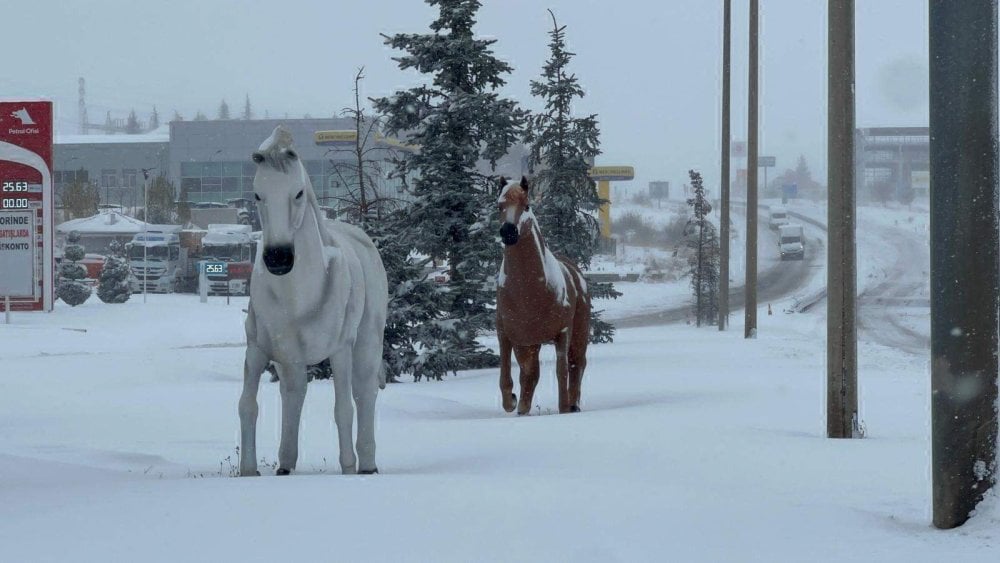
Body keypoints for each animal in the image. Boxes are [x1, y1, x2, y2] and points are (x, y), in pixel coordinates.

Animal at [238, 126, 386, 476]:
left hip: (367, 344)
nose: (278, 258)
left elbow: (343, 408)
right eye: (258, 195)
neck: (297, 298)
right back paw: (285, 465)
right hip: (290, 362)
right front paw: (248, 472)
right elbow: (248, 405)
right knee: (294, 395)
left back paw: (368, 465)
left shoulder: (341, 349)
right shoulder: (259, 349)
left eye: (298, 193)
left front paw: (349, 469)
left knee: (364, 393)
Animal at [496, 176, 588, 414]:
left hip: (579, 334)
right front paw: (512, 402)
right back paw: (523, 408)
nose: (508, 232)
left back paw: (573, 405)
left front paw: (564, 408)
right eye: (499, 206)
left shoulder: (563, 332)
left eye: (526, 205)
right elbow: (507, 375)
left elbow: (562, 371)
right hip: (530, 345)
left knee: (577, 365)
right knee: (530, 375)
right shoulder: (509, 335)